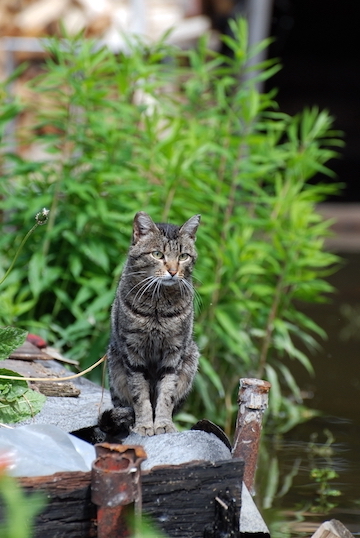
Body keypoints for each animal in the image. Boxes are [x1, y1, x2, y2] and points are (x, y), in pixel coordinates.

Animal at [100, 210, 201, 436]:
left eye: (183, 256)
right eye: (157, 254)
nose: (173, 271)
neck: (158, 307)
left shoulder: (174, 353)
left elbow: (167, 395)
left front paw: (163, 424)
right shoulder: (133, 353)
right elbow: (140, 396)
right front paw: (145, 425)